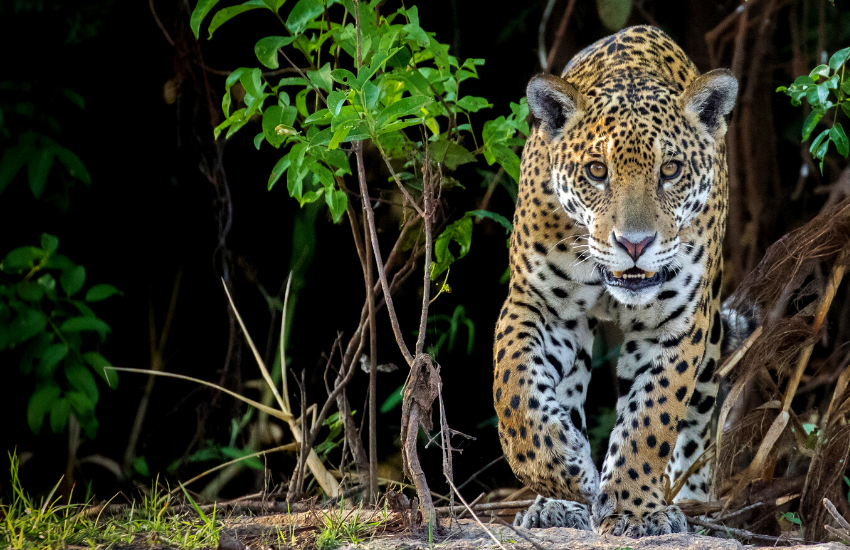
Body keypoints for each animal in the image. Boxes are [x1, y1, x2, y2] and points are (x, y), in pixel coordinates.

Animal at [492, 25, 738, 537]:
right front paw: (564, 471)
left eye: (670, 170)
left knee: (695, 426)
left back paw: (690, 498)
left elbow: (651, 417)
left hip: (711, 341)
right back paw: (557, 501)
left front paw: (633, 509)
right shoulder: (537, 306)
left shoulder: (677, 325)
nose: (634, 244)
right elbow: (514, 394)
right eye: (596, 171)